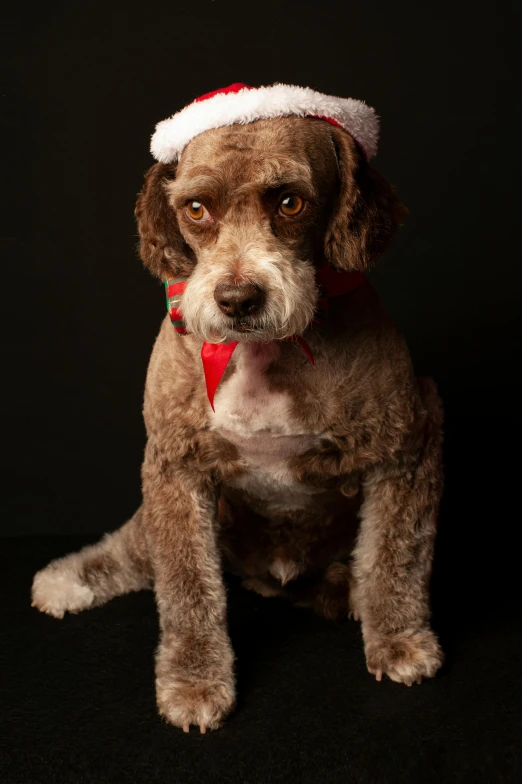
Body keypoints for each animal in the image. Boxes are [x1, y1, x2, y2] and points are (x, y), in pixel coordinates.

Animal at [30, 86, 440, 736]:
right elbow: (186, 587)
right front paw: (195, 682)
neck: (263, 351)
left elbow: (396, 556)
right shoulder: (174, 465)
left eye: (291, 201)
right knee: (134, 549)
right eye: (197, 209)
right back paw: (72, 577)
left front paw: (399, 641)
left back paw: (344, 591)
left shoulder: (408, 442)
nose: (239, 298)